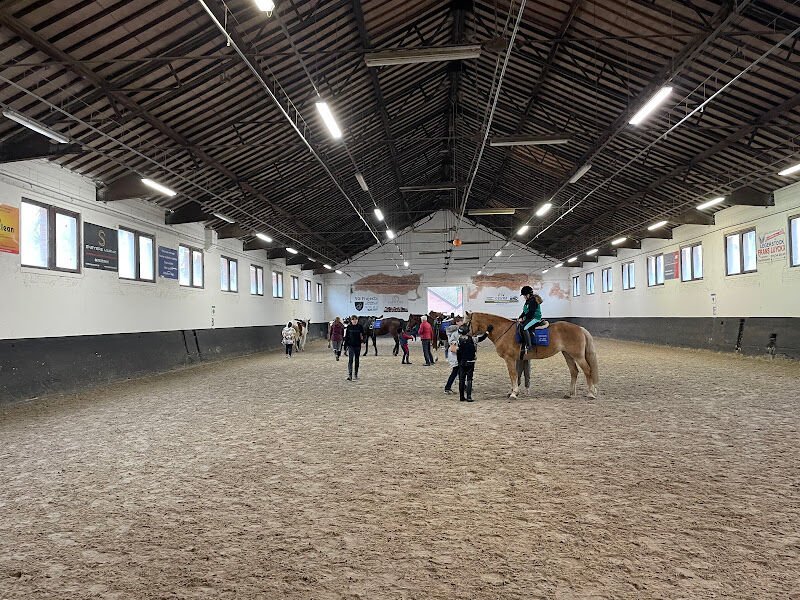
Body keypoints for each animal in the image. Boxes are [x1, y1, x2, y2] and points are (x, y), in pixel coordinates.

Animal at [462, 312, 600, 400]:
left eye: (467, 322)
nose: (461, 333)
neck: (503, 330)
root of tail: (580, 328)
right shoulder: (515, 359)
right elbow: (515, 375)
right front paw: (513, 391)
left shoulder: (509, 359)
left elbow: (513, 375)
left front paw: (514, 393)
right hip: (568, 355)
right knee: (574, 372)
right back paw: (570, 394)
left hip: (578, 356)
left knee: (588, 370)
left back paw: (591, 393)